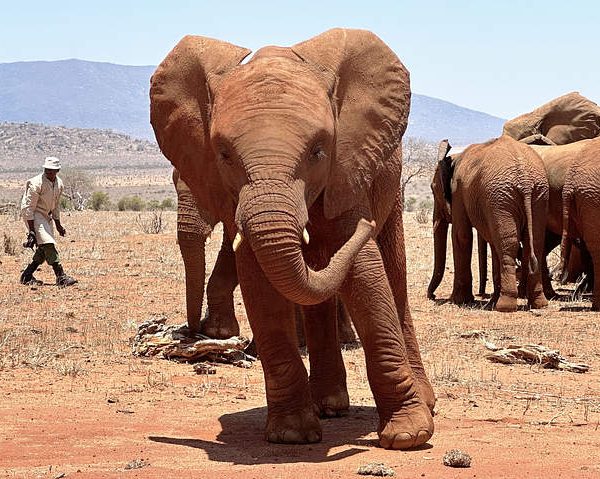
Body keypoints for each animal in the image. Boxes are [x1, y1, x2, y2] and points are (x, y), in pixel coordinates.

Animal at [148, 30, 434, 450]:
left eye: (319, 151)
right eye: (223, 154)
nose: (189, 332)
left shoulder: (346, 167)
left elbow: (366, 273)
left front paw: (409, 436)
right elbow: (259, 279)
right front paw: (292, 435)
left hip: (390, 183)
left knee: (392, 274)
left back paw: (423, 403)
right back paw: (329, 405)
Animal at [428, 137, 552, 314]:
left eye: (433, 189)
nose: (432, 296)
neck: (454, 158)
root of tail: (525, 182)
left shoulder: (458, 192)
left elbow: (461, 236)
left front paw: (458, 301)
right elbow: (493, 242)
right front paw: (488, 301)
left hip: (502, 198)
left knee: (508, 246)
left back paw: (504, 307)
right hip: (538, 196)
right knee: (534, 242)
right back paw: (539, 304)